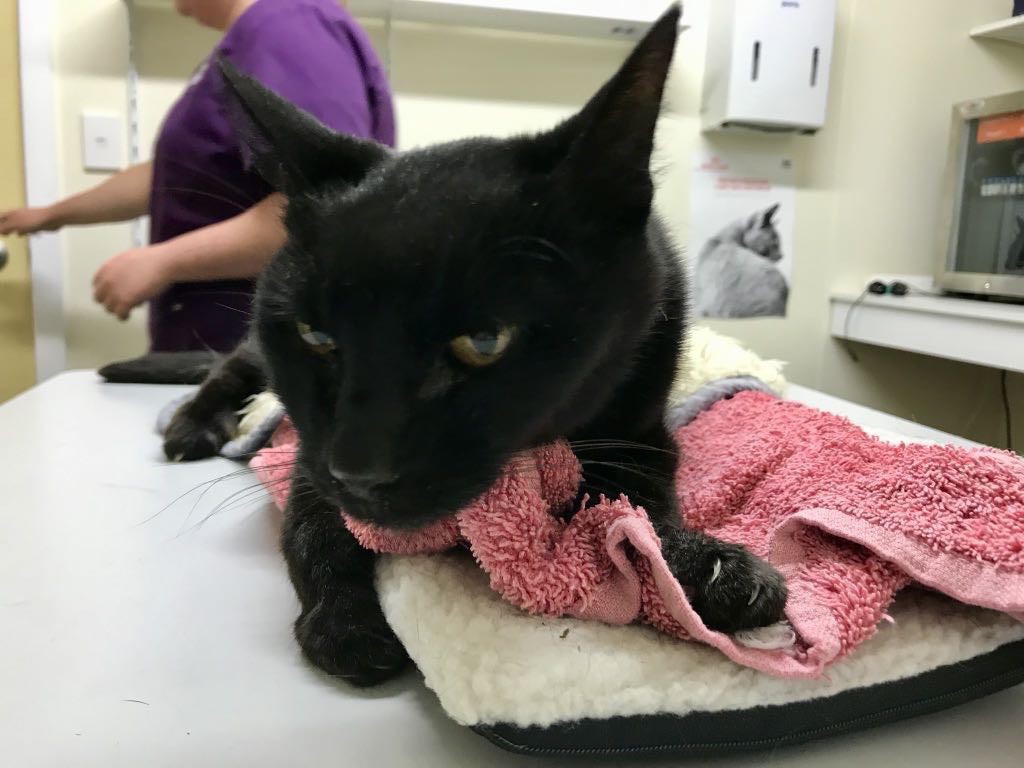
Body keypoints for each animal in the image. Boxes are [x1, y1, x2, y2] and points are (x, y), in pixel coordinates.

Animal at [159, 6, 786, 688]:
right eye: (316, 337)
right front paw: (344, 622)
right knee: (226, 371)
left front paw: (707, 569)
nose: (361, 472)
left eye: (484, 342)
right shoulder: (311, 446)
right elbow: (310, 520)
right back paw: (191, 427)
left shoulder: (641, 422)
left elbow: (632, 509)